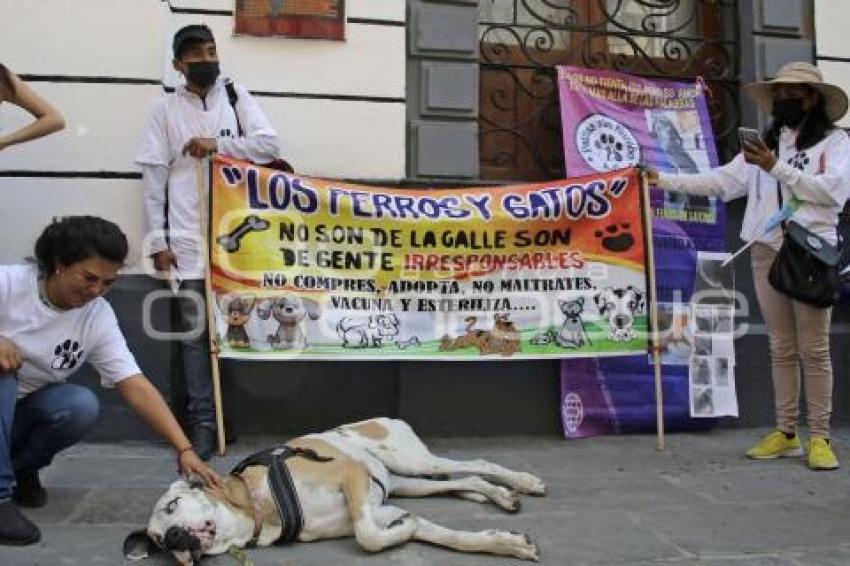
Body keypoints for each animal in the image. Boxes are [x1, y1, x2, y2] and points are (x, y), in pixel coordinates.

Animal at [140, 420, 544, 564]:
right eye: (157, 541)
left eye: (173, 505)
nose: (173, 537)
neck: (255, 506)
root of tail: (387, 417)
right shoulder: (379, 509)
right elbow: (449, 537)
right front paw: (506, 544)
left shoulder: (351, 477)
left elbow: (368, 537)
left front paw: (407, 529)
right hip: (407, 482)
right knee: (466, 480)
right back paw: (497, 495)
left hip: (411, 461)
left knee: (477, 463)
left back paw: (524, 482)